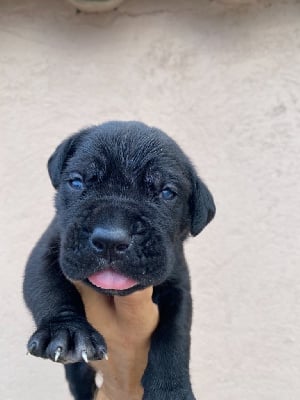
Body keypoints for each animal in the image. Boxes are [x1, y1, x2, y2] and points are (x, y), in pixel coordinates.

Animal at [23, 120, 216, 398]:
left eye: (167, 193)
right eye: (77, 182)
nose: (111, 240)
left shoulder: (178, 289)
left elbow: (174, 336)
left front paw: (170, 390)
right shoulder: (47, 250)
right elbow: (49, 287)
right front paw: (67, 330)